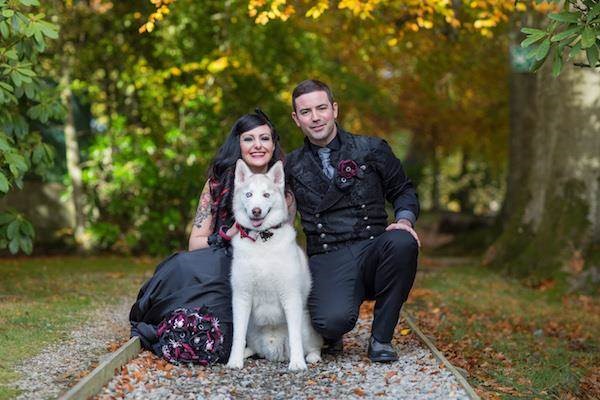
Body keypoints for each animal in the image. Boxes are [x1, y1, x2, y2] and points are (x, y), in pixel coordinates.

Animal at [226, 160, 324, 372]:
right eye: (248, 194)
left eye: (266, 195)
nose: (256, 210)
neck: (262, 241)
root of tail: (274, 349)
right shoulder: (241, 297)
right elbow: (237, 336)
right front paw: (234, 361)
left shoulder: (291, 296)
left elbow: (295, 337)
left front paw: (297, 363)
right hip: (252, 330)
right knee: (253, 347)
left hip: (306, 325)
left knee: (314, 345)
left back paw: (311, 357)